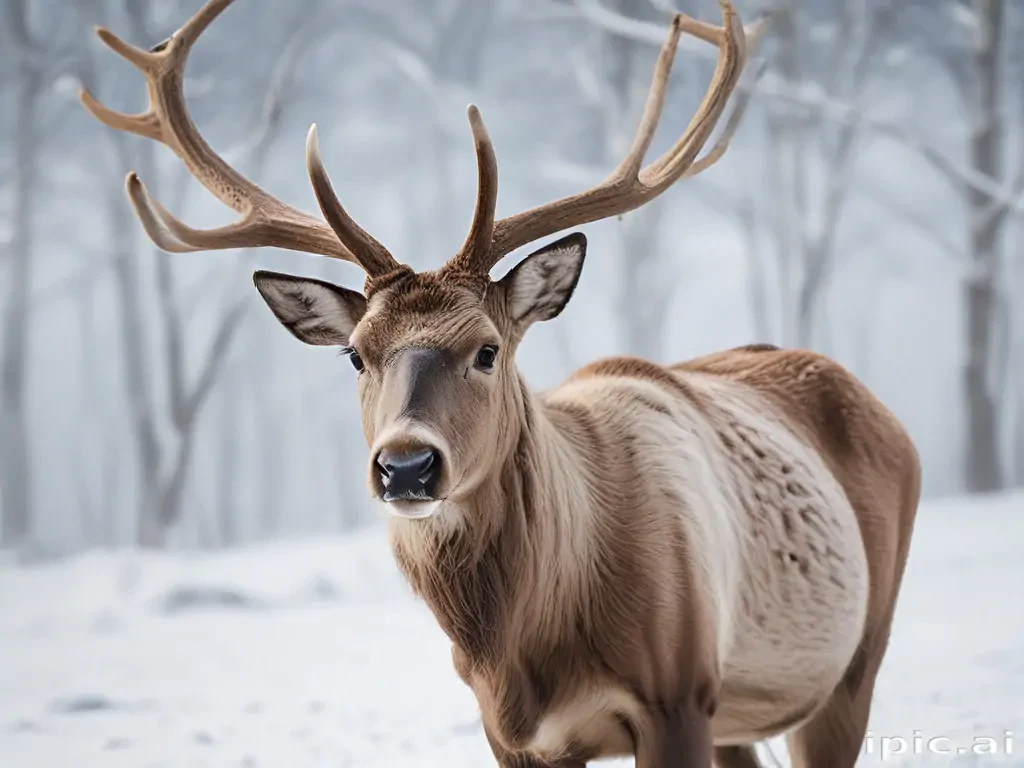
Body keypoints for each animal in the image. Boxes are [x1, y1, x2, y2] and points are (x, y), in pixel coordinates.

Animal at [81, 0, 921, 766]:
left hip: (852, 663)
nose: (406, 465)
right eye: (355, 353)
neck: (526, 647)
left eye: (488, 349)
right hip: (743, 722)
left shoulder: (678, 689)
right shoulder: (512, 734)